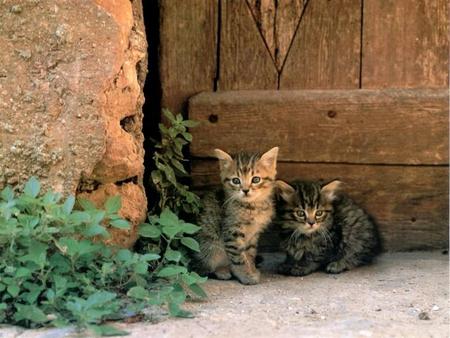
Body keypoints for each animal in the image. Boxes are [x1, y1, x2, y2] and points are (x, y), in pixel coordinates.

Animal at [192, 147, 278, 284]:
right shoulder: (232, 233)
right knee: (202, 268)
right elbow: (239, 258)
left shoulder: (253, 235)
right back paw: (221, 271)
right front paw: (246, 275)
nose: (245, 190)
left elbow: (250, 254)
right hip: (210, 245)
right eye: (236, 180)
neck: (251, 207)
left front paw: (252, 269)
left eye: (256, 179)